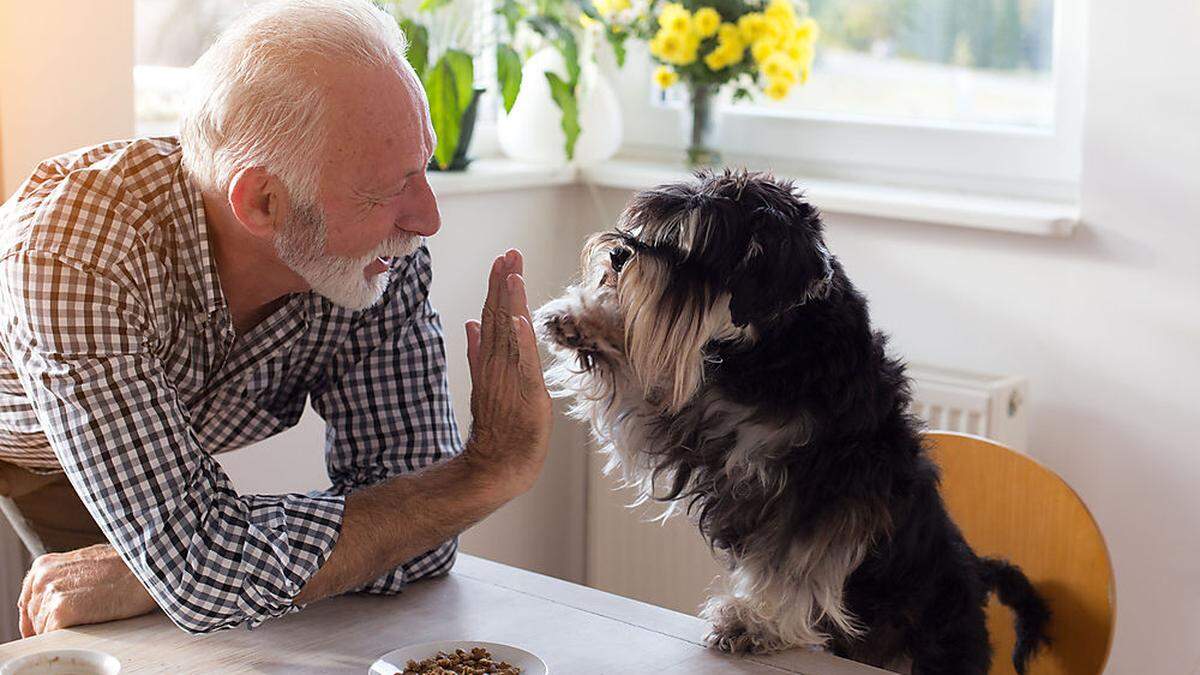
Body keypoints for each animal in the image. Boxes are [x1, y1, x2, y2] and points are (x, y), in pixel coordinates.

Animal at [535, 169, 1051, 672]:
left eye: (694, 245)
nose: (618, 254)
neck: (778, 348)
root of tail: (976, 571)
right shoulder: (695, 424)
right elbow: (643, 386)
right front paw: (581, 319)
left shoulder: (822, 493)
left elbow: (793, 565)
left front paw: (753, 623)